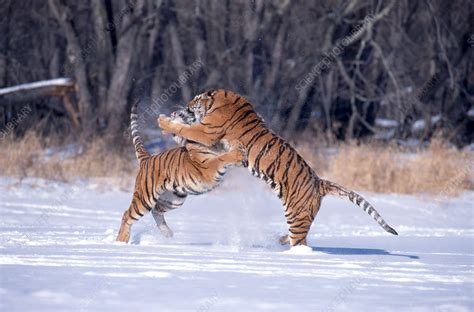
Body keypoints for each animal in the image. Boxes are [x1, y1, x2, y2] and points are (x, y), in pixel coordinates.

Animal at [116, 102, 246, 244]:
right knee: (127, 215)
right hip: (145, 197)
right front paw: (238, 153)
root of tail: (147, 158)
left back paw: (168, 233)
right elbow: (221, 158)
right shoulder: (208, 168)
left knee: (156, 211)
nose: (175, 113)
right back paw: (121, 242)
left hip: (174, 199)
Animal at [157, 89, 398, 247]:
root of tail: (319, 182)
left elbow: (189, 130)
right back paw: (279, 240)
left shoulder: (207, 132)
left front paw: (163, 121)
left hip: (297, 215)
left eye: (195, 100)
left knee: (301, 243)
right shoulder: (215, 143)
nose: (186, 105)